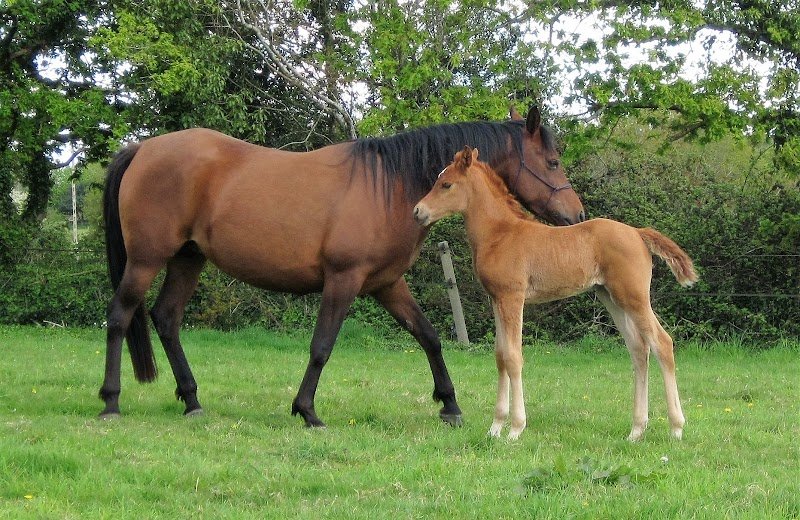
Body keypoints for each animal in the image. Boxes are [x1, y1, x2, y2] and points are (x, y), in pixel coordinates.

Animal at [99, 106, 585, 428]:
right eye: (553, 162)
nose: (577, 215)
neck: (391, 187)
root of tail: (142, 148)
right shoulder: (344, 280)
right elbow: (322, 346)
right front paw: (307, 410)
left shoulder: (386, 283)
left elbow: (429, 337)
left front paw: (449, 405)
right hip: (146, 260)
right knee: (120, 316)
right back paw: (111, 401)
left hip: (188, 258)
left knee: (167, 317)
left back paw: (192, 400)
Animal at [413, 146, 697, 441]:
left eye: (446, 184)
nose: (418, 211)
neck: (500, 234)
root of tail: (638, 233)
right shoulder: (497, 299)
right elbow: (501, 356)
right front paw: (495, 428)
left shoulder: (513, 298)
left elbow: (513, 358)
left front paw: (515, 429)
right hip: (611, 297)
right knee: (639, 349)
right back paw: (636, 430)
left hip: (634, 297)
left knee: (662, 343)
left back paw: (676, 428)